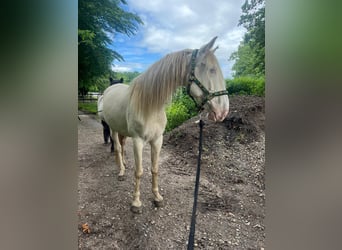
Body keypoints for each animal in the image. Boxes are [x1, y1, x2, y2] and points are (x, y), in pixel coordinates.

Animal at [102, 36, 230, 213]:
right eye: (211, 70)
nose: (223, 111)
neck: (149, 105)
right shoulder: (138, 141)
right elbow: (139, 171)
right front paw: (136, 203)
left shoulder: (157, 140)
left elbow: (155, 169)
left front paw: (157, 197)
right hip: (113, 128)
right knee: (118, 148)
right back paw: (121, 171)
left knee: (121, 146)